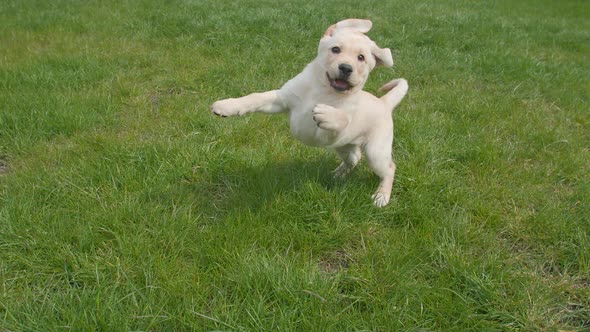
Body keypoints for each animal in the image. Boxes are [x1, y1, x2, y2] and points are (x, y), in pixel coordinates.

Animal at [213, 18, 412, 208]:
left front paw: (327, 113)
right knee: (355, 158)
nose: (346, 68)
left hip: (375, 151)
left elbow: (342, 119)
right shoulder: (281, 99)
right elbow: (255, 97)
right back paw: (337, 174)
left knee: (389, 168)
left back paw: (381, 196)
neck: (322, 90)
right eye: (336, 49)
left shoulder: (327, 135)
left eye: (361, 58)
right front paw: (226, 106)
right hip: (344, 147)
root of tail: (384, 102)